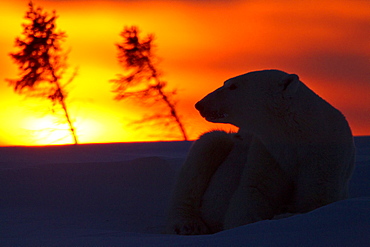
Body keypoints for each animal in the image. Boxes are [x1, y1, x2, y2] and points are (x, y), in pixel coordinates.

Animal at [165, 69, 356, 235]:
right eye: (226, 82)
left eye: (233, 86)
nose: (200, 104)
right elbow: (255, 191)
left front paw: (285, 212)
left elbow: (315, 198)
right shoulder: (267, 152)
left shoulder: (325, 157)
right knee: (208, 148)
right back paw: (189, 225)